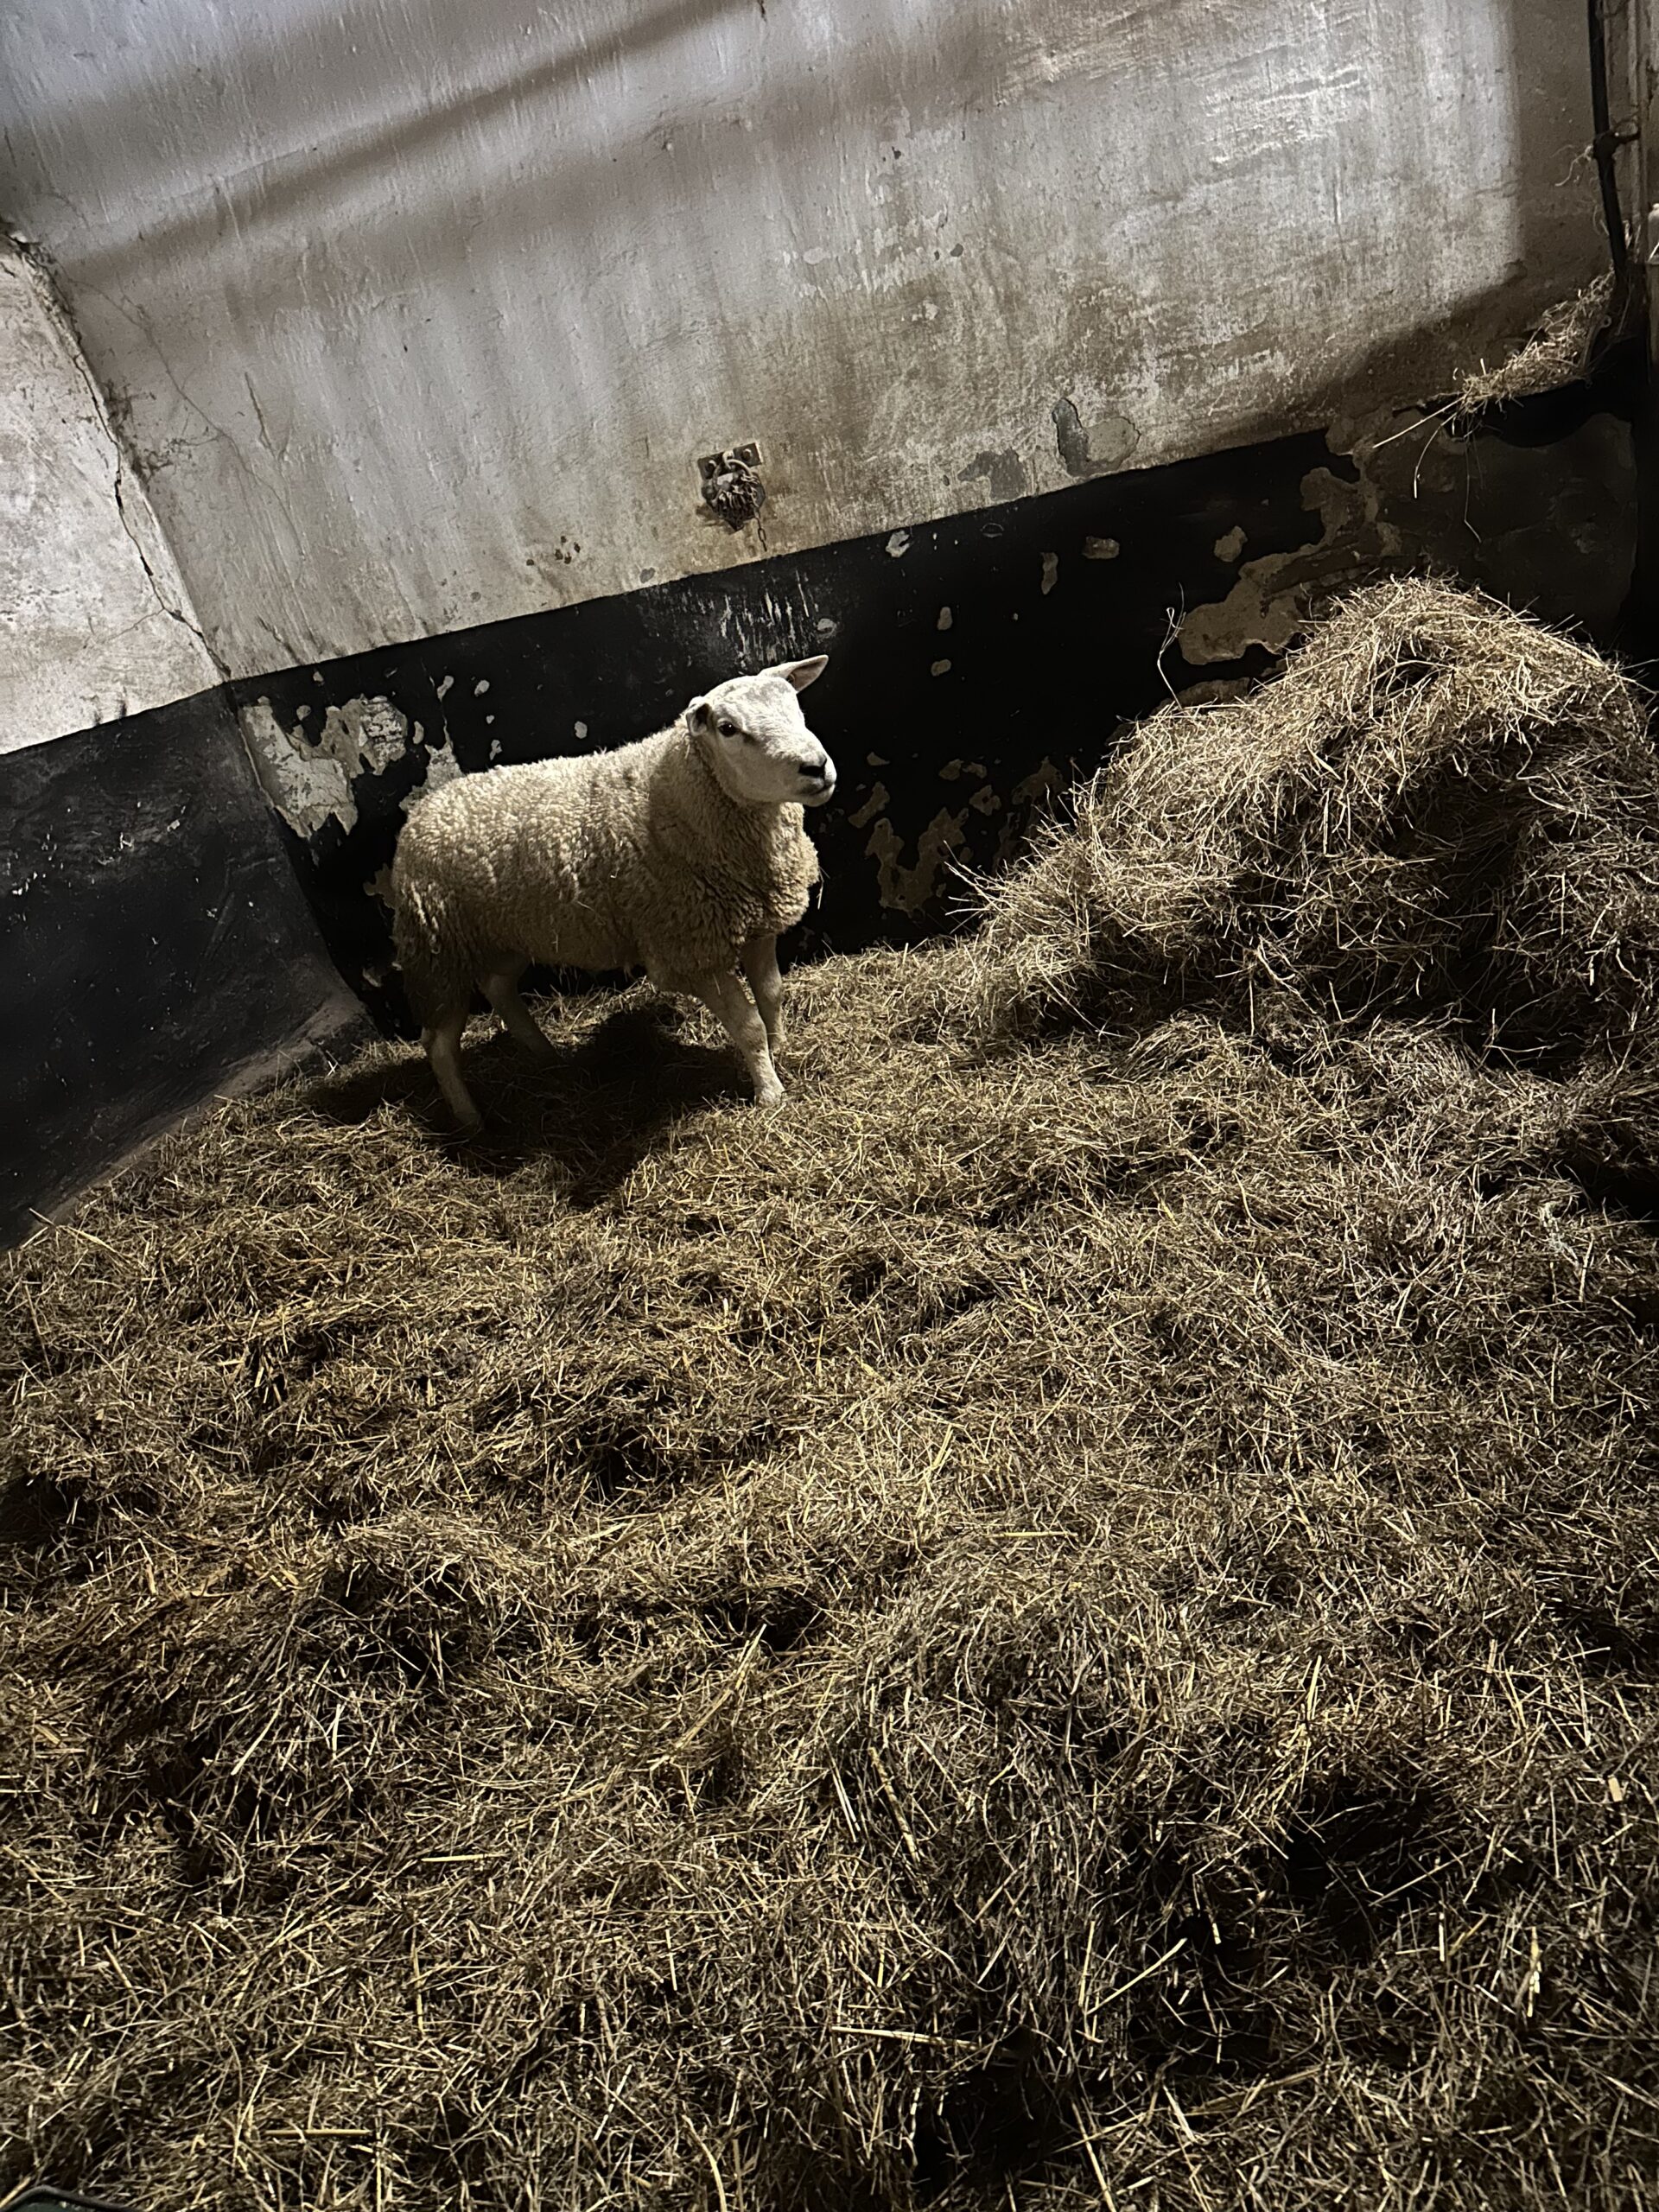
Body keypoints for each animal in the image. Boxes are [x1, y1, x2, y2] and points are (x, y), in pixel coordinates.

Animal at [391, 656, 837, 1131]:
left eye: (794, 703)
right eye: (728, 728)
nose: (816, 767)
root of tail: (421, 813)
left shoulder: (756, 924)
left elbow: (771, 995)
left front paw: (782, 1047)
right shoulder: (689, 951)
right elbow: (747, 1023)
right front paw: (770, 1093)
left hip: (505, 933)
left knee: (498, 988)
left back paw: (547, 1056)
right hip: (439, 951)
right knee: (438, 1042)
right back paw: (470, 1119)